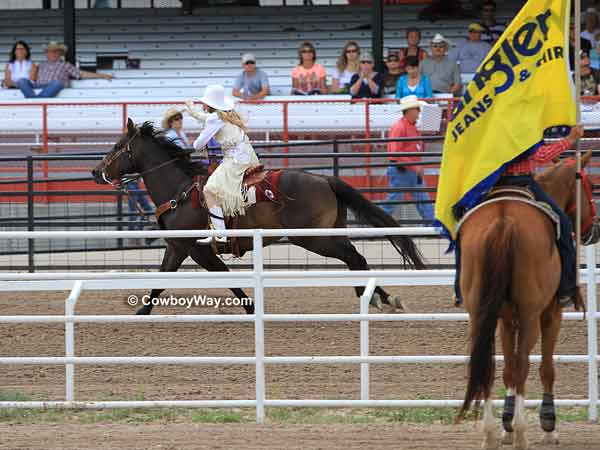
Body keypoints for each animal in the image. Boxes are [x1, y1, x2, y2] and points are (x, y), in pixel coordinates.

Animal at [91, 120, 424, 316]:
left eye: (118, 147)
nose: (95, 172)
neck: (180, 190)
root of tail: (324, 179)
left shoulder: (197, 249)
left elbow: (224, 276)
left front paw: (252, 308)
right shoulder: (177, 247)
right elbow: (159, 282)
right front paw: (141, 314)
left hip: (314, 239)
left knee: (355, 258)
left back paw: (374, 299)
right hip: (329, 234)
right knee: (356, 259)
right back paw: (381, 298)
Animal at [458, 152, 596, 450]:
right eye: (591, 184)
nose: (596, 229)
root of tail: (503, 221)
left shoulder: (505, 319)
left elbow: (508, 369)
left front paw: (506, 426)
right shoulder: (551, 314)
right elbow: (545, 368)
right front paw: (548, 427)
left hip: (479, 313)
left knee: (488, 365)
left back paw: (490, 434)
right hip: (531, 314)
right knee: (524, 364)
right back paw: (523, 434)